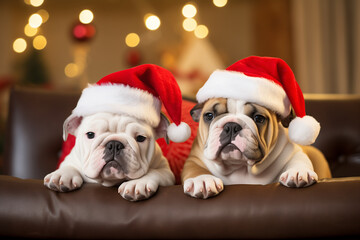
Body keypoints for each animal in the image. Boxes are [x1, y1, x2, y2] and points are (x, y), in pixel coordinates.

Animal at [181, 97, 330, 199]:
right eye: (209, 116)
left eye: (259, 118)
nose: (231, 126)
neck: (240, 167)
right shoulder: (194, 158)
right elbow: (195, 168)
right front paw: (202, 180)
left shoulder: (292, 151)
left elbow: (298, 159)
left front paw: (298, 172)